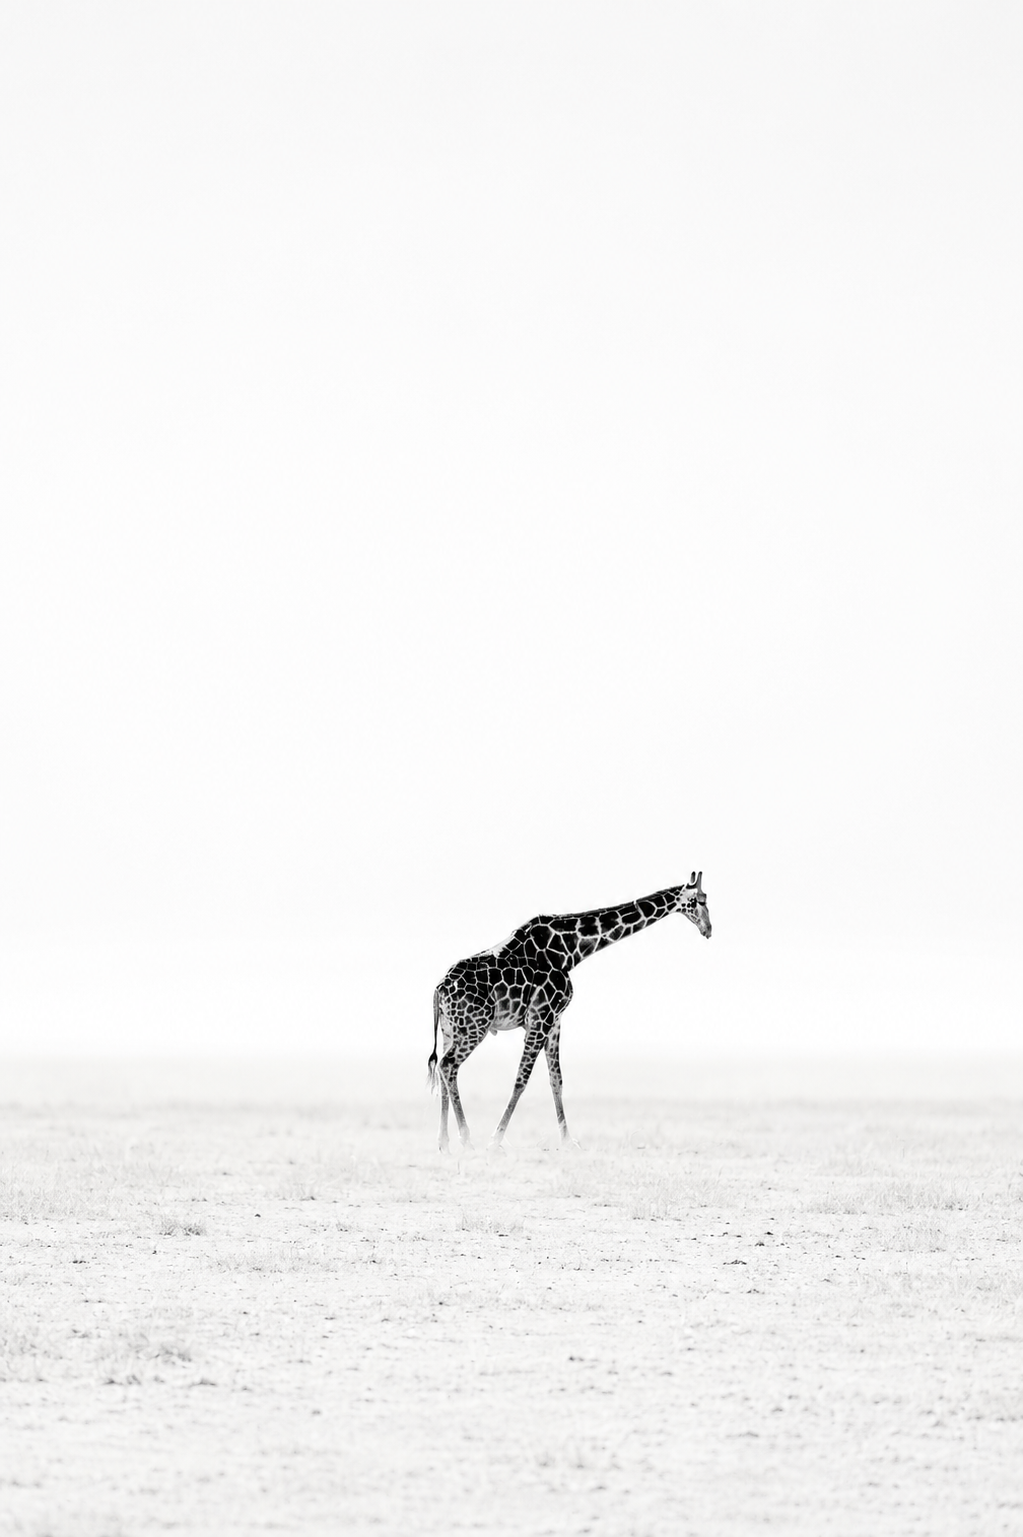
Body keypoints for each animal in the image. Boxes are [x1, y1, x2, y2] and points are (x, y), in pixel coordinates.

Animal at [428, 874, 711, 1152]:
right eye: (700, 900)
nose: (708, 930)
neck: (569, 950)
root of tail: (439, 988)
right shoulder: (541, 1016)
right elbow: (521, 1079)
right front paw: (495, 1140)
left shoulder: (554, 1020)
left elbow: (557, 1080)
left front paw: (568, 1141)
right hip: (475, 1027)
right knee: (449, 1065)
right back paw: (466, 1139)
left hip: (451, 1029)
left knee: (443, 1069)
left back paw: (444, 1142)